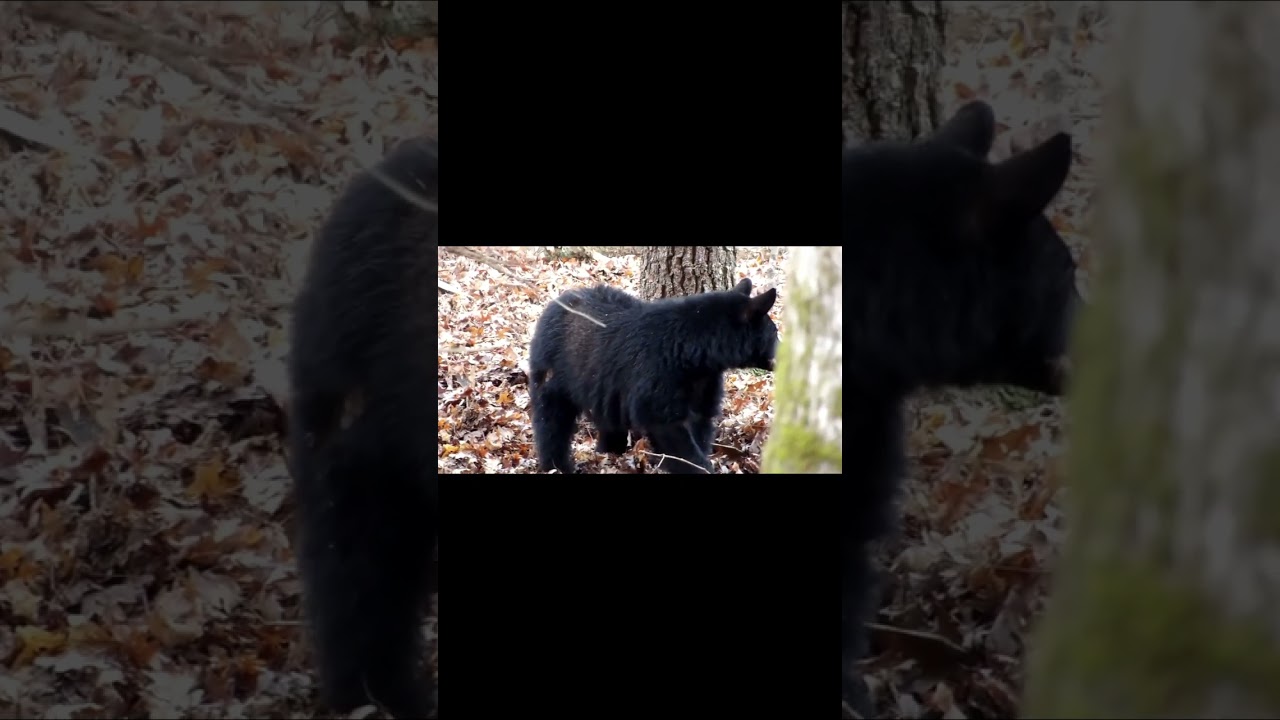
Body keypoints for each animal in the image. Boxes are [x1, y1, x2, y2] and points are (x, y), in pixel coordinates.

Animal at [528, 278, 778, 474]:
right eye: (774, 332)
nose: (782, 353)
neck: (695, 354)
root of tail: (558, 301)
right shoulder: (658, 375)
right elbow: (668, 425)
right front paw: (698, 466)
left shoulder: (705, 381)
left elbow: (701, 420)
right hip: (554, 368)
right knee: (551, 419)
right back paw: (557, 465)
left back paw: (609, 450)